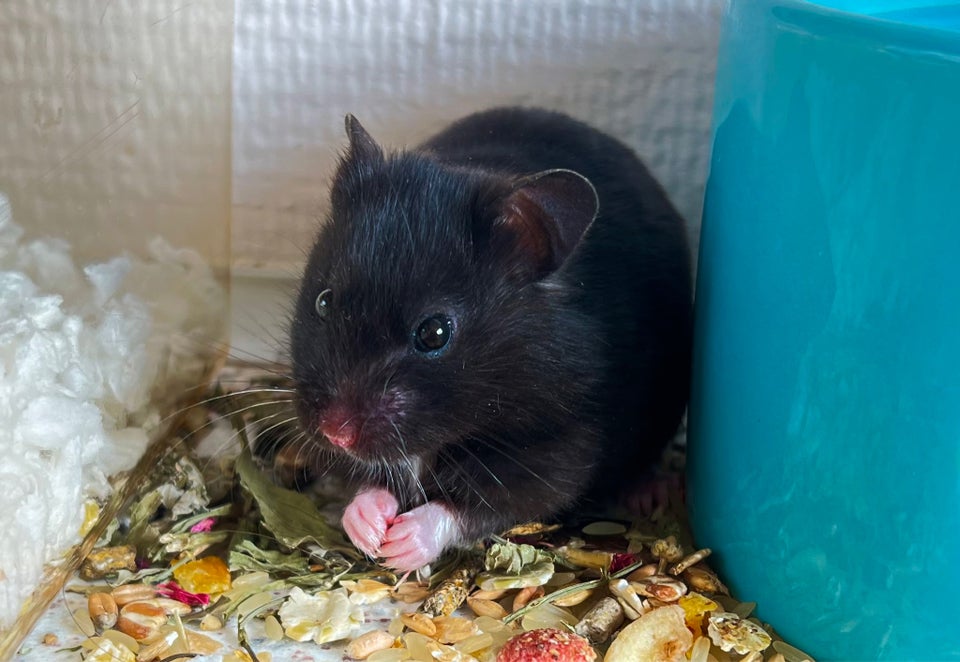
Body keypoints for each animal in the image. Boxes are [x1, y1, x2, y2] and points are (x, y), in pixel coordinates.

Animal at [288, 107, 692, 572]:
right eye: (323, 301)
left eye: (434, 333)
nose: (335, 434)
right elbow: (369, 482)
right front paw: (370, 530)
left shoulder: (557, 451)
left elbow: (484, 506)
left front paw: (399, 546)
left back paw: (651, 494)